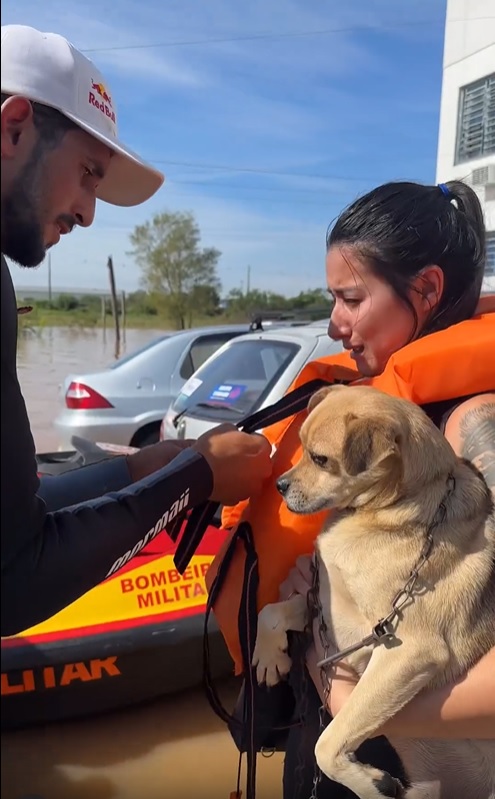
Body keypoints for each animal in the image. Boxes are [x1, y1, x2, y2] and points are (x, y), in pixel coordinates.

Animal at [254, 384, 494, 796]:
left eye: (320, 459)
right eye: (301, 447)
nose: (280, 485)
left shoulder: (405, 650)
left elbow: (328, 742)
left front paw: (368, 784)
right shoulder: (330, 609)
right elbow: (270, 611)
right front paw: (269, 657)